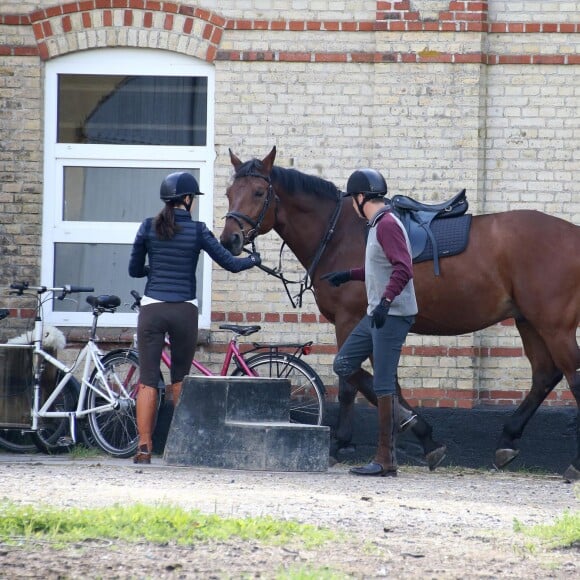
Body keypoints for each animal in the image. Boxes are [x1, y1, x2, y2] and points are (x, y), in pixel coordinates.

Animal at [219, 146, 580, 480]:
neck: (342, 234)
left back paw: (572, 464)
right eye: (229, 192)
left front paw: (345, 442)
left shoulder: (351, 320)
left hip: (554, 327)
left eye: (259, 192)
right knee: (545, 375)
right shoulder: (372, 325)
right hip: (528, 321)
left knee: (570, 376)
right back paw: (507, 440)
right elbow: (380, 382)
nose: (229, 240)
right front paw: (415, 436)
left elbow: (352, 381)